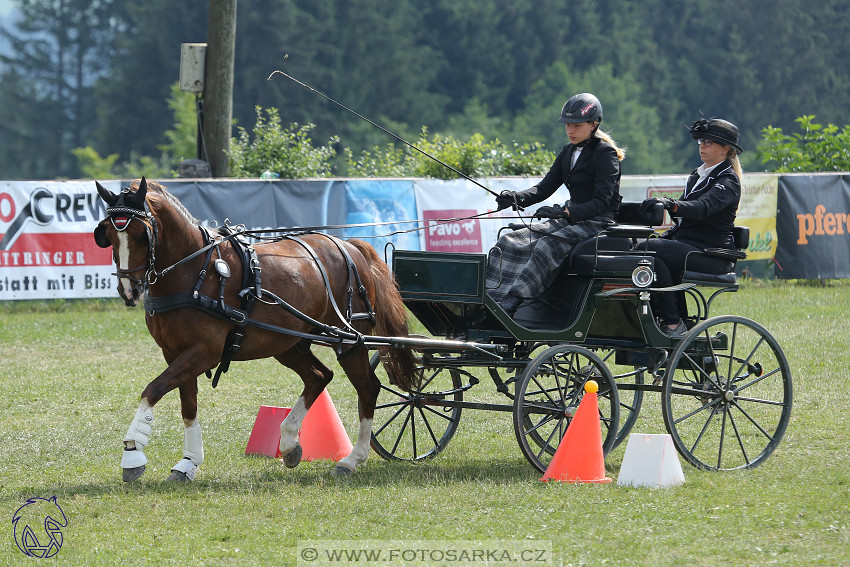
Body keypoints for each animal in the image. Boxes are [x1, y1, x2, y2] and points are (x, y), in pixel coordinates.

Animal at [93, 180, 418, 482]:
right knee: (318, 376)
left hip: (350, 340)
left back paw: (352, 459)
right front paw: (188, 463)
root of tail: (350, 247)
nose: (129, 290)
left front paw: (132, 452)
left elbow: (153, 390)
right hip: (288, 342)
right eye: (107, 234)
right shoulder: (174, 353)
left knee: (368, 387)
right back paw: (290, 443)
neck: (194, 271)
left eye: (141, 235)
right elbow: (188, 406)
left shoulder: (204, 353)